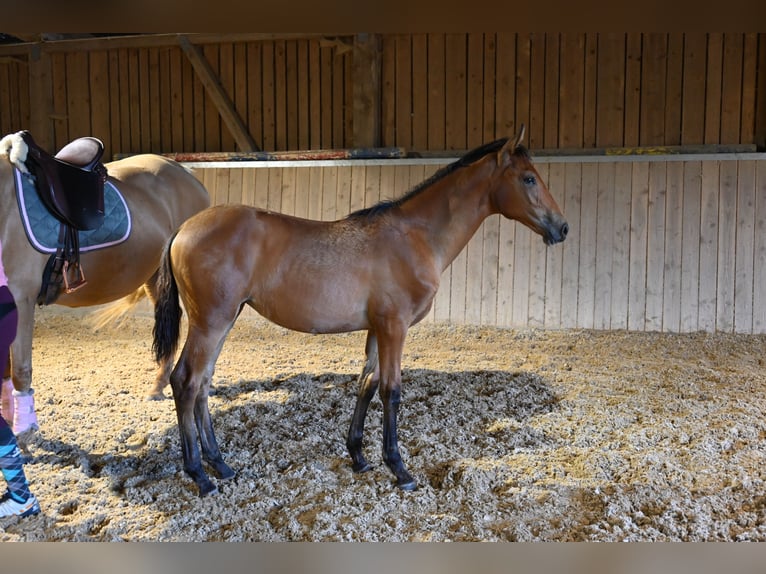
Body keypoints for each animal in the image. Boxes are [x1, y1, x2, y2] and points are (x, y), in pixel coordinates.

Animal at [0, 132, 210, 437]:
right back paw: (158, 386)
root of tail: (186, 173)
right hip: (154, 277)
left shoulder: (21, 298)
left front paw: (24, 434)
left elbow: (20, 371)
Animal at [152, 125, 569, 497]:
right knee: (186, 381)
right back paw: (200, 476)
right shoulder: (395, 327)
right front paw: (399, 469)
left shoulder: (376, 328)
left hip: (224, 320)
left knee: (203, 383)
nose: (562, 228)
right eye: (529, 179)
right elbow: (391, 391)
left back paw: (221, 465)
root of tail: (182, 230)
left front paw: (359, 456)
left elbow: (367, 384)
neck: (415, 237)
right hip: (211, 322)